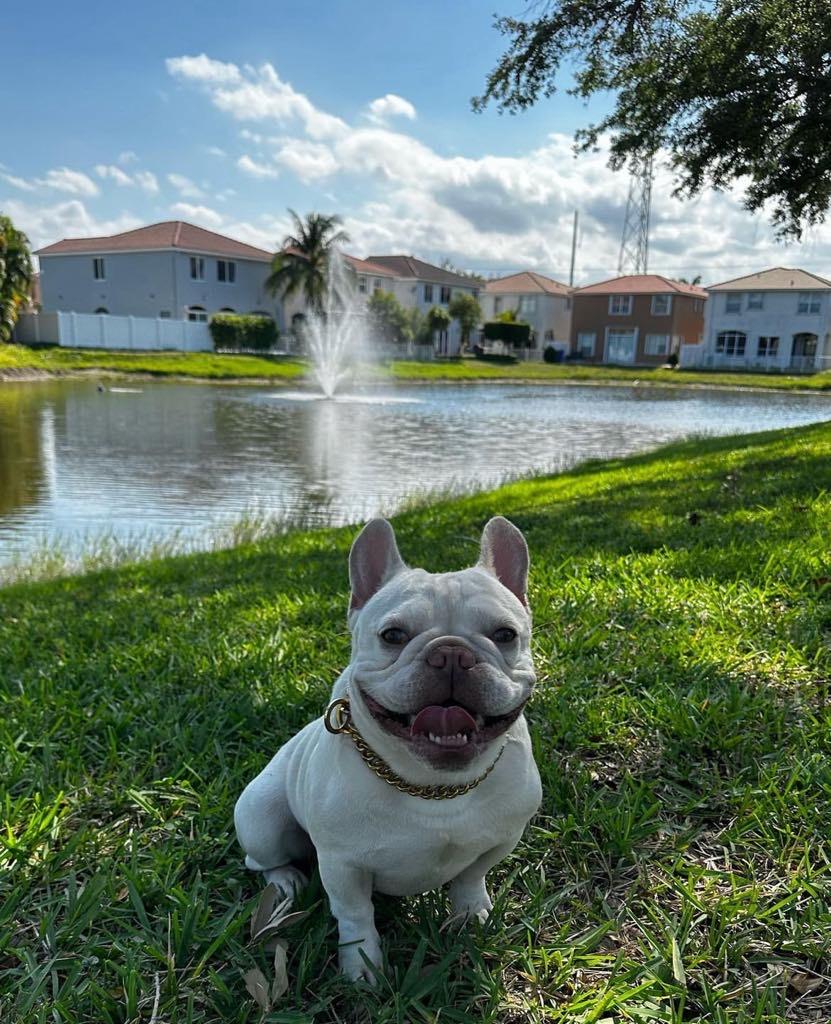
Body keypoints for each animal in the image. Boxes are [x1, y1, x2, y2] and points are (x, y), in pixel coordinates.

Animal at [234, 516, 541, 981]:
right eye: (393, 635)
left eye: (505, 634)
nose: (451, 654)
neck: (434, 787)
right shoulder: (343, 866)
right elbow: (355, 914)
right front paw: (362, 966)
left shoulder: (500, 840)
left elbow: (471, 878)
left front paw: (471, 915)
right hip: (262, 819)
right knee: (263, 861)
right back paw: (285, 881)